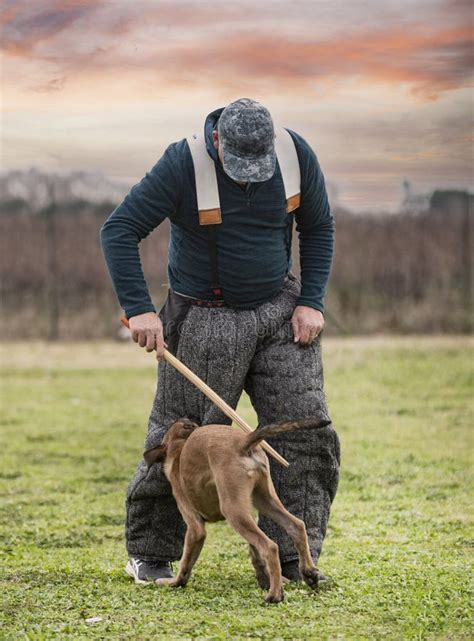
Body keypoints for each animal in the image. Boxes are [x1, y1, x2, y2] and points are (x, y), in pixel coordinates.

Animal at [144, 416, 330, 600]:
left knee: (270, 546)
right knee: (296, 525)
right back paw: (308, 573)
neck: (178, 449)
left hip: (233, 510)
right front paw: (264, 579)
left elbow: (185, 565)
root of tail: (242, 441)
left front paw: (174, 583)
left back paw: (275, 595)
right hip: (264, 500)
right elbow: (255, 553)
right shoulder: (249, 512)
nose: (185, 418)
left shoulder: (195, 528)